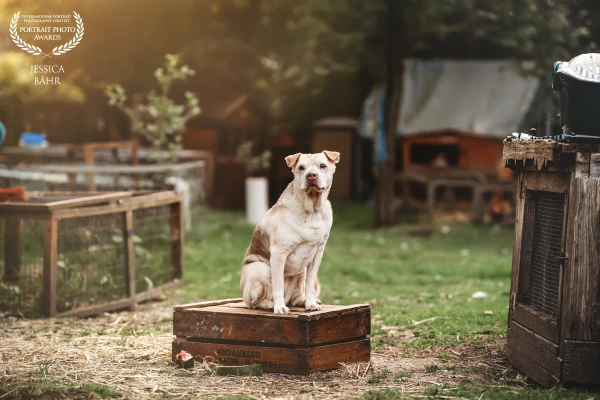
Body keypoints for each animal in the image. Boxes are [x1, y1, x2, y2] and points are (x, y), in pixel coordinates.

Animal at [240, 149, 342, 312]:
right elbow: (278, 285)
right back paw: (271, 305)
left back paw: (304, 301)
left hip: (302, 272)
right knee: (253, 303)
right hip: (261, 268)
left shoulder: (317, 254)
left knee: (297, 295)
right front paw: (279, 307)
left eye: (322, 165)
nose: (311, 175)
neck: (312, 211)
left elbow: (309, 285)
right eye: (301, 167)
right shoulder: (278, 253)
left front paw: (311, 303)